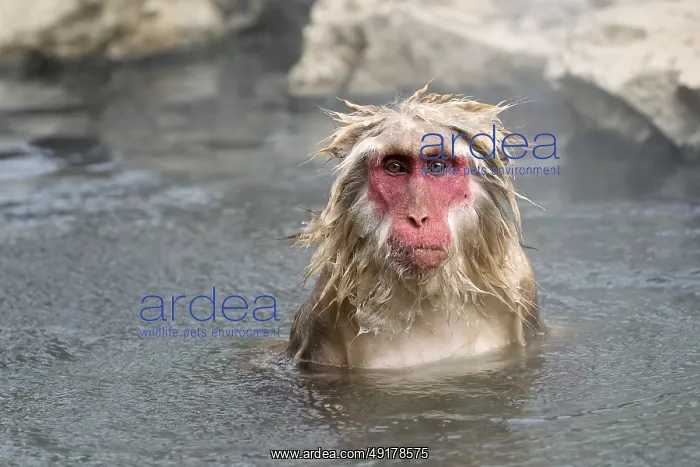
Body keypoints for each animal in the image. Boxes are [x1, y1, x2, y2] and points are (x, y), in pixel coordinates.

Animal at [284, 83, 543, 370]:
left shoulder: (521, 280)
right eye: (396, 167)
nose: (418, 217)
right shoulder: (325, 308)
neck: (426, 294)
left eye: (437, 166)